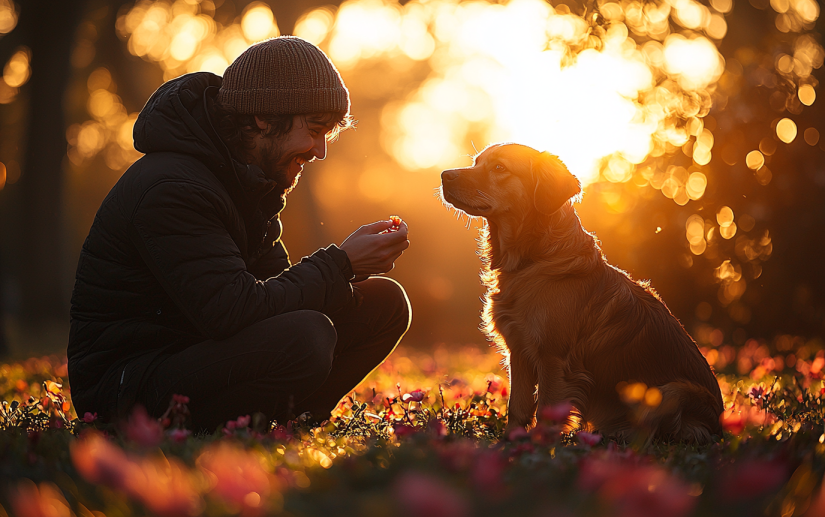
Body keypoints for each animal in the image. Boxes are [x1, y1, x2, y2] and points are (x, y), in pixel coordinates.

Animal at [438, 143, 720, 442]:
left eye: (500, 167)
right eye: (476, 162)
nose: (445, 175)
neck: (531, 259)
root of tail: (720, 426)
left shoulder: (553, 358)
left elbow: (546, 410)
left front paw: (539, 447)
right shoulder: (519, 351)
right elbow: (518, 407)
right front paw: (510, 444)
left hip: (672, 391)